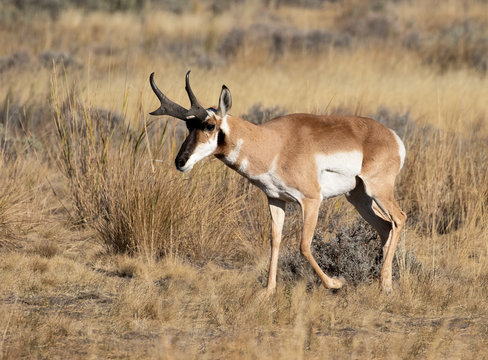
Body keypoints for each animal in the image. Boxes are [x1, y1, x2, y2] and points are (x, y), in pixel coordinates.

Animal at [150, 71, 408, 292]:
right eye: (188, 125)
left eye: (209, 125)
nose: (180, 162)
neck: (274, 143)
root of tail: (391, 135)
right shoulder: (275, 200)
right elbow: (275, 241)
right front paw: (269, 290)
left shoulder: (311, 200)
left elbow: (303, 245)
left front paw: (335, 283)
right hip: (358, 197)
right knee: (385, 226)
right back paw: (382, 280)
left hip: (378, 190)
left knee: (399, 218)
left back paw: (385, 285)